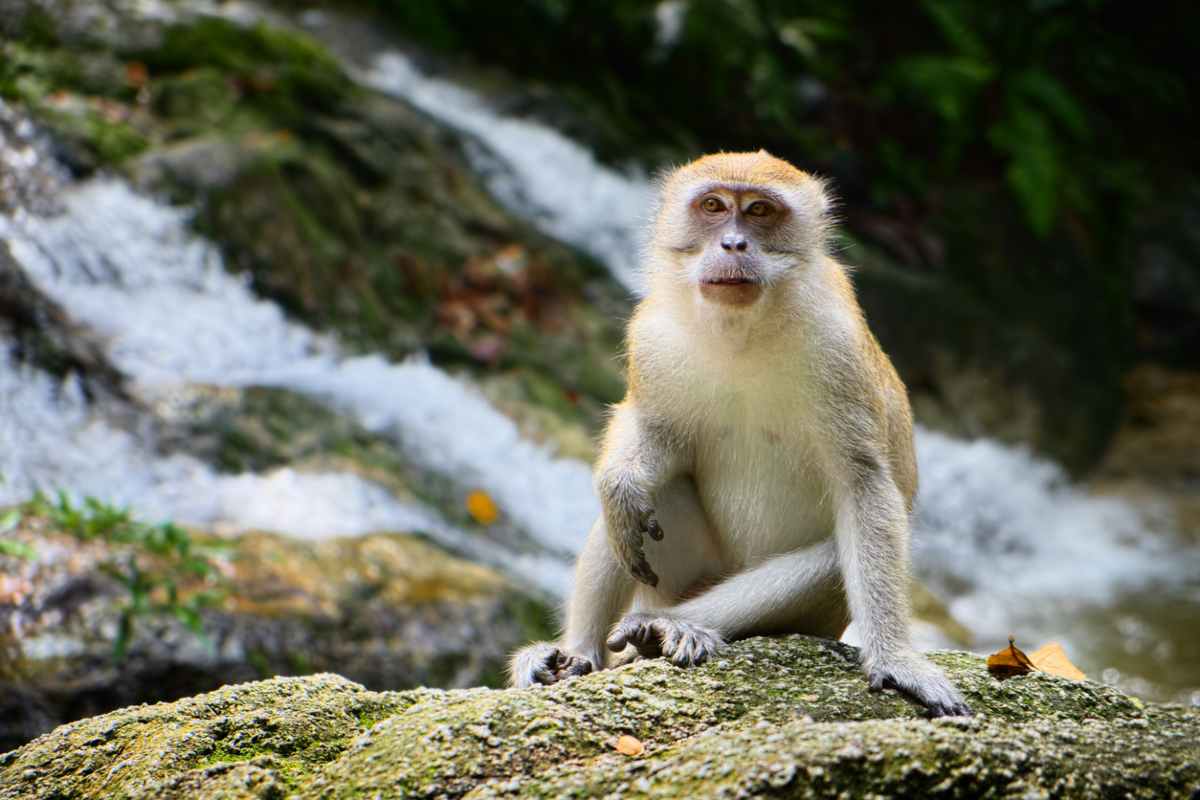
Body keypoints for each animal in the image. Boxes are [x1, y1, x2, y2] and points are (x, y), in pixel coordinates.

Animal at [509, 150, 970, 717]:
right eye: (713, 206)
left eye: (759, 211)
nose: (733, 244)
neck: (742, 331)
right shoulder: (652, 334)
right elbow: (652, 431)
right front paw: (620, 483)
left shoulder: (837, 351)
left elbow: (863, 486)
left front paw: (896, 657)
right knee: (650, 500)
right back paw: (578, 654)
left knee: (832, 558)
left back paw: (670, 627)